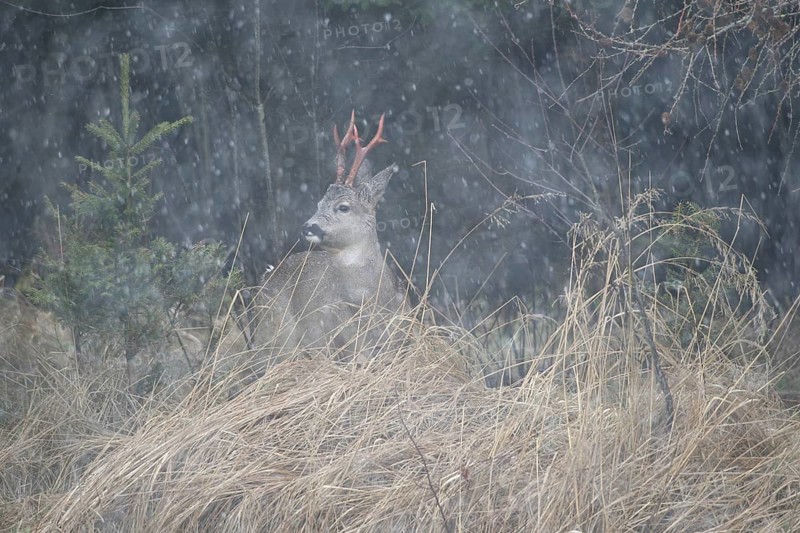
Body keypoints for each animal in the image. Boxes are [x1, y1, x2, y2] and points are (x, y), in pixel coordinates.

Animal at [244, 111, 408, 369]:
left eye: (343, 207)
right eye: (319, 203)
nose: (308, 227)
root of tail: (265, 278)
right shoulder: (341, 343)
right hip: (274, 334)